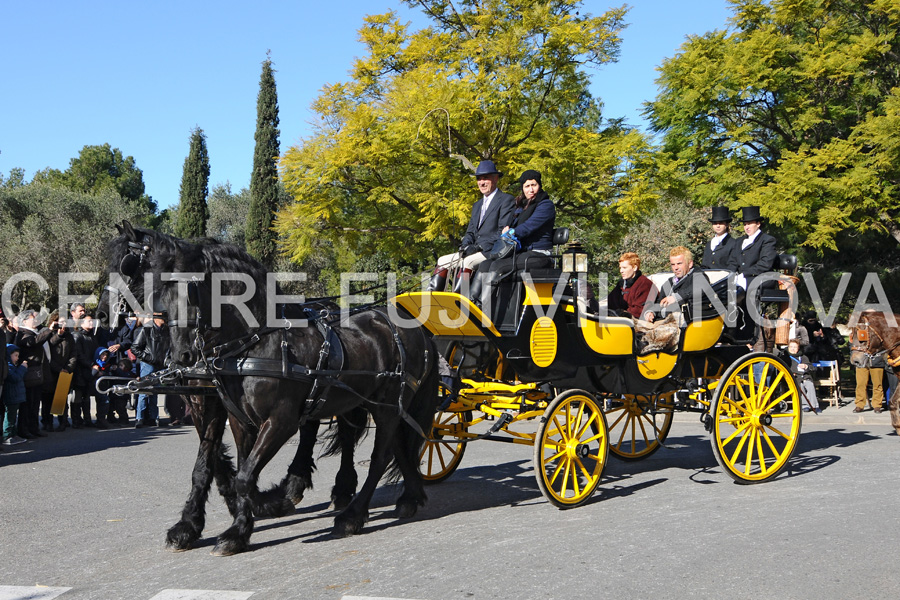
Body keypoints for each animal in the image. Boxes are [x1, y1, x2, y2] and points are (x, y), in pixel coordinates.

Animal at [103, 220, 440, 552]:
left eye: (126, 266)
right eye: (161, 292)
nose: (181, 354)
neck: (256, 342)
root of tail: (410, 325)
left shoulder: (278, 420)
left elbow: (244, 476)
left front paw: (268, 503)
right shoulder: (229, 415)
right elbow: (222, 467)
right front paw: (228, 527)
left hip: (386, 405)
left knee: (379, 455)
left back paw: (349, 513)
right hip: (365, 402)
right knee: (391, 443)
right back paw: (407, 496)